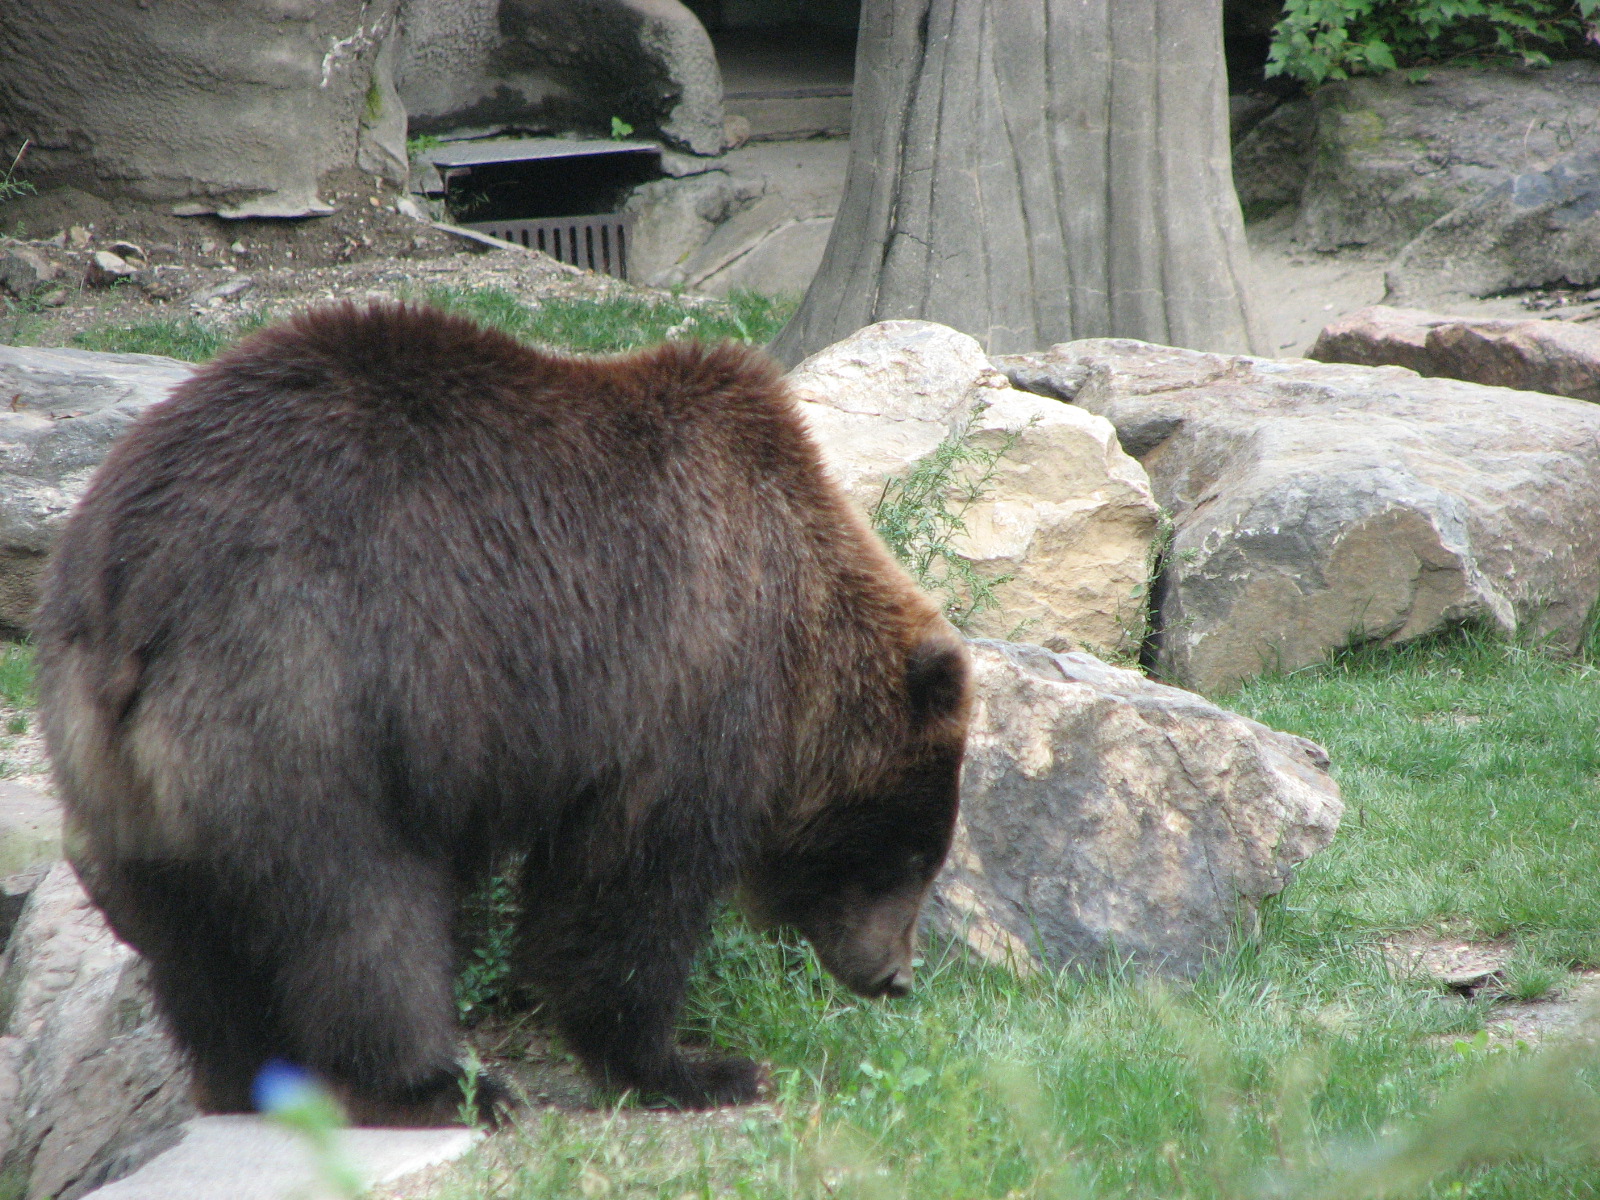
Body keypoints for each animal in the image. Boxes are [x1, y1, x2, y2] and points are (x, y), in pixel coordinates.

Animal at [34, 301, 971, 1122]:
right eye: (913, 850)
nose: (896, 975)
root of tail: (134, 574)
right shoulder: (685, 671)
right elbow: (631, 884)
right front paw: (695, 1067)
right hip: (302, 692)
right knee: (361, 911)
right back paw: (442, 1085)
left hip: (110, 761)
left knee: (187, 943)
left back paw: (245, 1077)